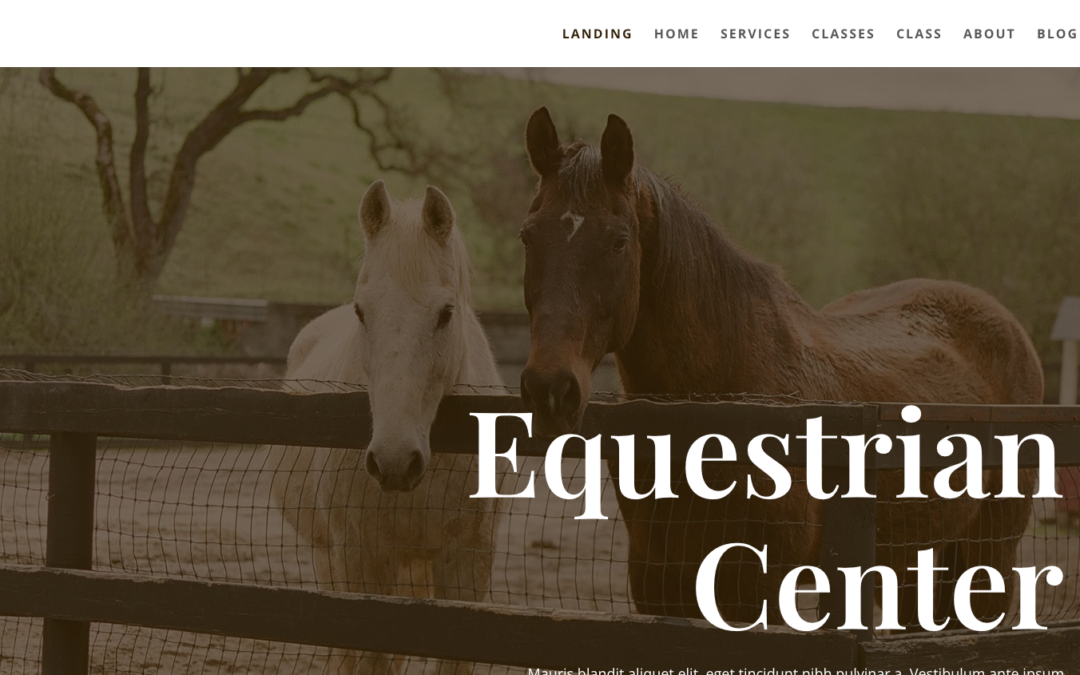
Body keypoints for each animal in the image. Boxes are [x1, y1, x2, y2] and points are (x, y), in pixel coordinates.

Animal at [270, 181, 503, 674]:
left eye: (446, 312)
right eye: (362, 311)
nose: (395, 461)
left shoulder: (468, 561)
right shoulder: (360, 559)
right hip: (329, 558)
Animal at [516, 107, 1041, 629]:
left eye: (619, 242)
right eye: (527, 235)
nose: (550, 389)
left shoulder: (756, 599)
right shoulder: (661, 591)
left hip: (985, 562)